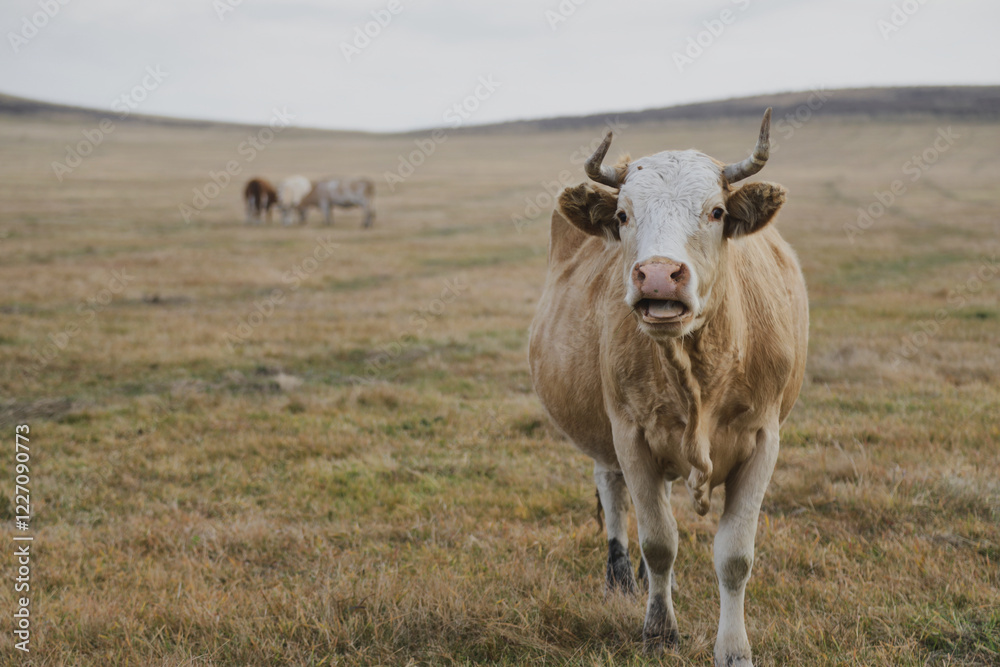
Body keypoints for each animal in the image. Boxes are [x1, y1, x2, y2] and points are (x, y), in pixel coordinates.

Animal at [528, 109, 808, 666]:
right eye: (623, 215)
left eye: (716, 211)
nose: (658, 275)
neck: (700, 369)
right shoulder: (630, 434)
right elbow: (659, 542)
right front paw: (659, 630)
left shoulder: (764, 440)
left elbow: (735, 556)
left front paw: (734, 649)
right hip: (605, 435)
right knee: (613, 491)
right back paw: (620, 575)